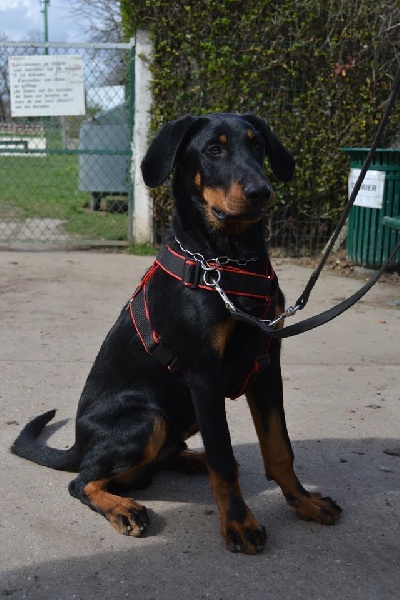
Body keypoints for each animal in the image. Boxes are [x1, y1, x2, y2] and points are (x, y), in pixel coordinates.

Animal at [10, 112, 340, 552]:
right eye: (213, 150)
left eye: (258, 145)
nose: (261, 192)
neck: (228, 260)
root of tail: (78, 444)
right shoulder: (203, 376)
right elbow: (223, 460)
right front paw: (238, 523)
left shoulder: (267, 367)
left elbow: (279, 448)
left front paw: (304, 502)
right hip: (148, 419)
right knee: (83, 481)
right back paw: (123, 508)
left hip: (183, 416)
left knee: (153, 463)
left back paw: (188, 459)